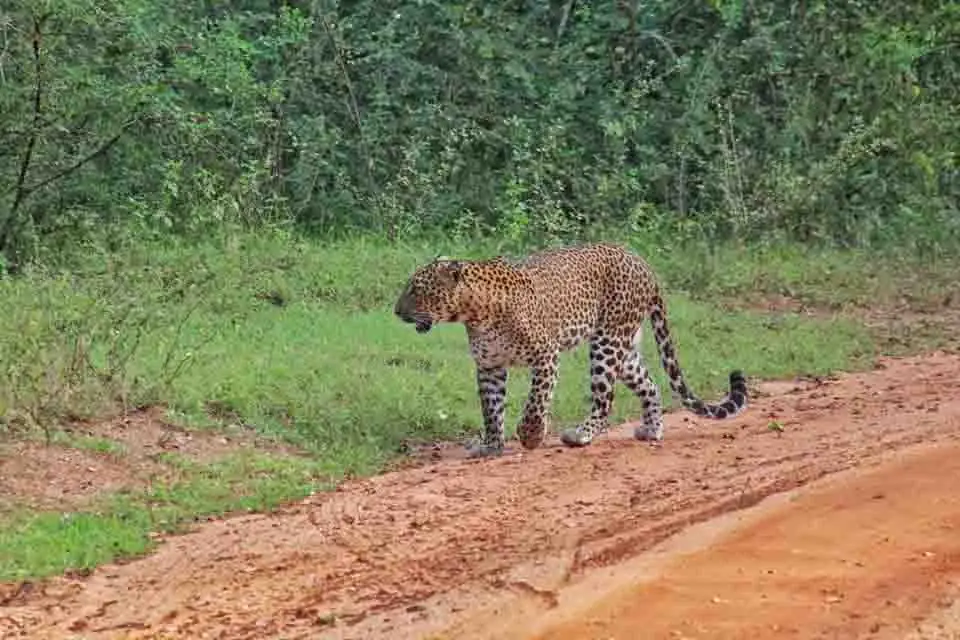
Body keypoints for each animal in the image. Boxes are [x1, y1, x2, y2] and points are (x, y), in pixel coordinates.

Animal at [394, 243, 748, 458]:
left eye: (416, 289)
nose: (396, 312)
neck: (475, 312)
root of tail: (641, 261)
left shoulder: (546, 355)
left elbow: (536, 402)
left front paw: (531, 435)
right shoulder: (490, 366)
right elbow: (491, 410)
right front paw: (491, 445)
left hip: (607, 343)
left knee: (604, 399)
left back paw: (580, 435)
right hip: (624, 346)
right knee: (649, 384)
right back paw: (652, 429)